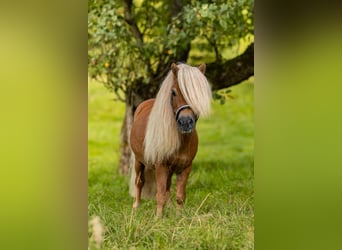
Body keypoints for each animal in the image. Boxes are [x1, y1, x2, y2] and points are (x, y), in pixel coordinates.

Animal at [130, 63, 212, 217]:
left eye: (198, 94)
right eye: (173, 92)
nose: (185, 122)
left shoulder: (185, 167)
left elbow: (179, 195)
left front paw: (179, 216)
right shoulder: (160, 166)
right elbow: (160, 194)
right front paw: (158, 218)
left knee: (168, 188)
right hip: (139, 162)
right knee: (139, 182)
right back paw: (136, 207)